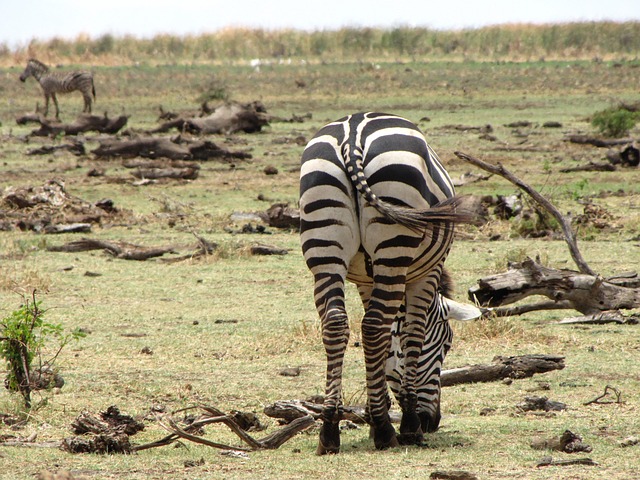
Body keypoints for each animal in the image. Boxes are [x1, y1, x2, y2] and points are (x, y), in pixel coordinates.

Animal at [300, 111, 476, 454]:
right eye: (447, 344)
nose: (432, 422)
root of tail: (353, 132)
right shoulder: (426, 273)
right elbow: (411, 334)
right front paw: (406, 425)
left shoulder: (365, 279)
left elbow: (381, 340)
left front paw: (373, 414)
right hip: (395, 239)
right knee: (374, 325)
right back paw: (386, 430)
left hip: (324, 243)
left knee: (339, 325)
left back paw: (330, 431)